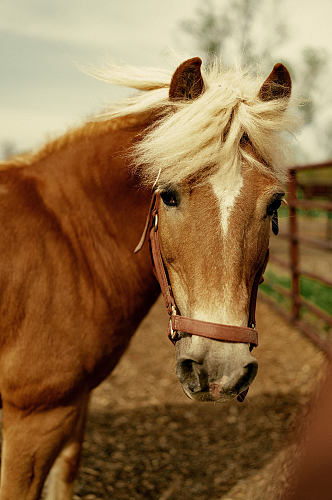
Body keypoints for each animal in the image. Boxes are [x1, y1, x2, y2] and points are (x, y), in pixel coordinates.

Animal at [0, 55, 296, 496]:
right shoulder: (33, 420)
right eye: (168, 195)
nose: (218, 369)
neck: (67, 236)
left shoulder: (73, 407)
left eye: (275, 202)